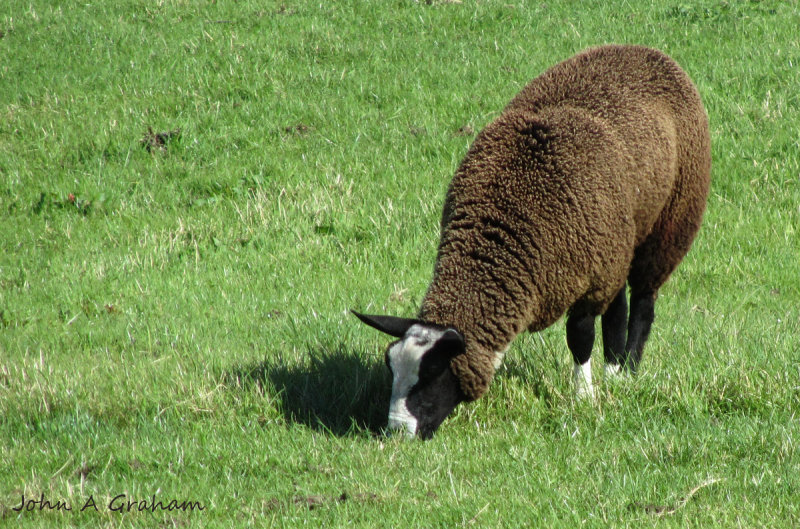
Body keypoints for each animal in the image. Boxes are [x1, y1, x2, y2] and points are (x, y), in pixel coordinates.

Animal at [354, 44, 708, 438]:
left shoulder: (585, 275)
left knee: (644, 301)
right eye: (390, 366)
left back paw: (627, 371)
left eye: (432, 374)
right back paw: (614, 370)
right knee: (618, 305)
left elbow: (579, 336)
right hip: (616, 243)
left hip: (671, 221)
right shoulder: (595, 260)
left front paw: (583, 397)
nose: (397, 433)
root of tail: (642, 50)